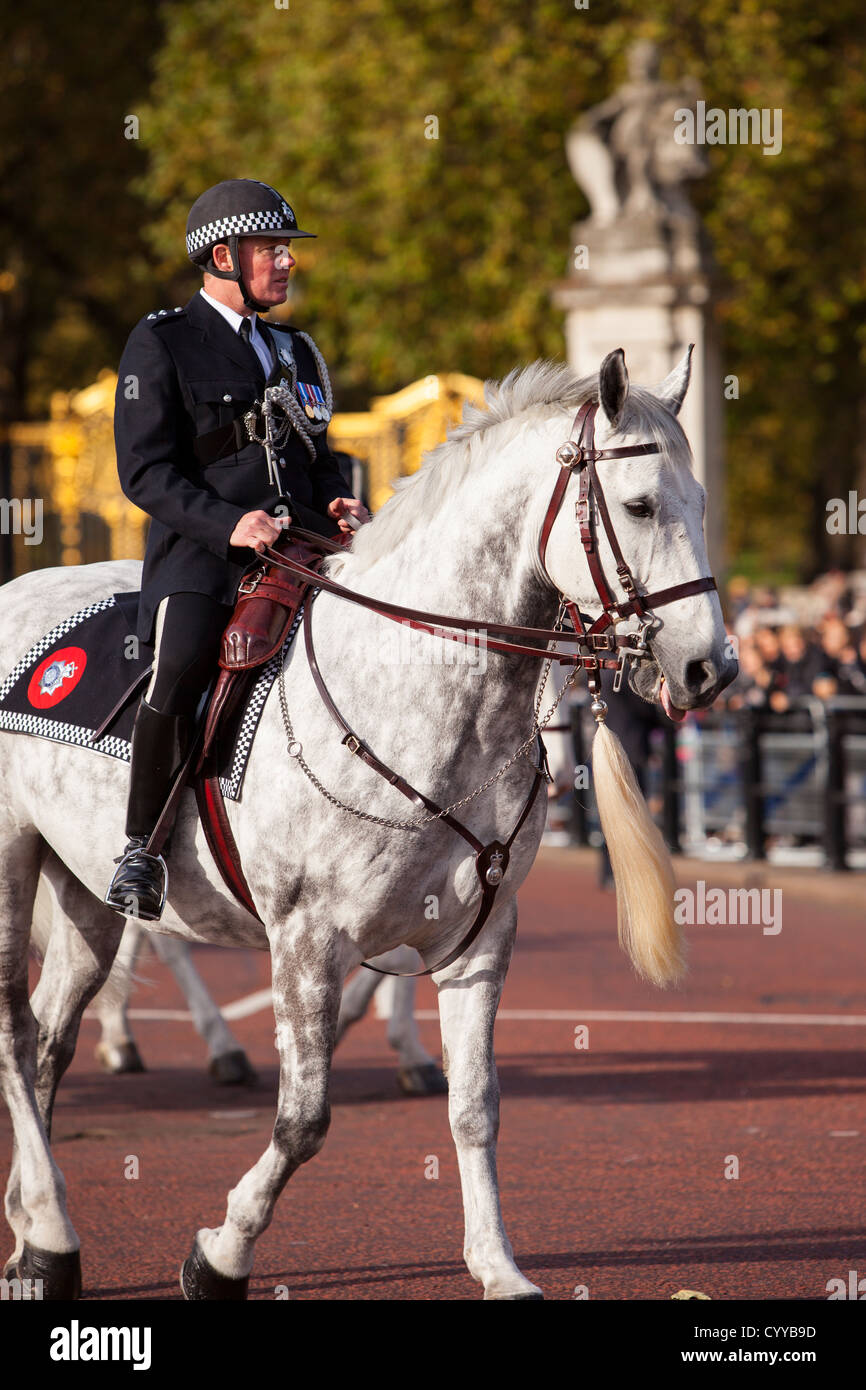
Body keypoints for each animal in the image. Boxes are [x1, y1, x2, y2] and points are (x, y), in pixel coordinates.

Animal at [0, 350, 733, 1301]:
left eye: (701, 502)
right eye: (640, 505)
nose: (710, 668)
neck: (428, 694)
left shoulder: (479, 939)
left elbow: (475, 1108)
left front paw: (497, 1265)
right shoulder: (307, 939)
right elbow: (305, 1119)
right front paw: (220, 1255)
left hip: (84, 889)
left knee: (51, 1038)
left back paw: (32, 1232)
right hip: (16, 867)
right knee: (17, 1036)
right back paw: (53, 1227)